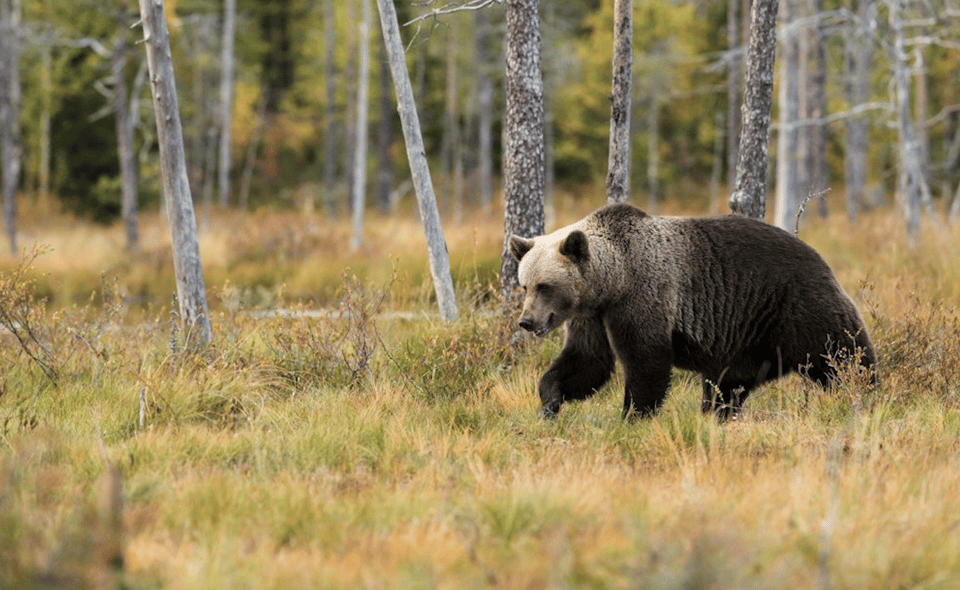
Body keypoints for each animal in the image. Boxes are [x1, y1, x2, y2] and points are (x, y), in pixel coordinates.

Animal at [510, 204, 876, 420]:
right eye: (525, 285)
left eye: (545, 286)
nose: (527, 321)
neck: (613, 280)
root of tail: (820, 257)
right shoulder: (593, 315)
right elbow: (587, 361)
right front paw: (550, 401)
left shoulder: (644, 296)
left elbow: (646, 362)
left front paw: (633, 415)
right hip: (746, 339)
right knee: (728, 385)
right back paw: (717, 414)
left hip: (795, 306)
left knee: (842, 354)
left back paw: (864, 392)